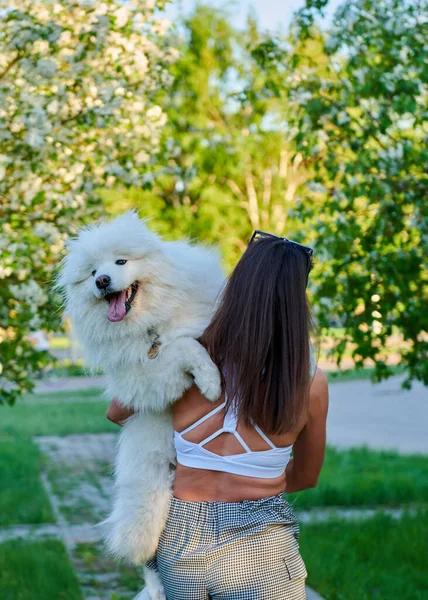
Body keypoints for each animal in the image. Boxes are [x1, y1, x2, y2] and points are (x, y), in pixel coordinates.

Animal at [57, 213, 224, 596]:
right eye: (92, 272)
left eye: (121, 262)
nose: (102, 281)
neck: (149, 327)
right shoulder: (141, 379)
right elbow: (185, 347)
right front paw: (210, 381)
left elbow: (190, 339)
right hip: (147, 504)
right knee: (148, 557)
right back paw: (157, 589)